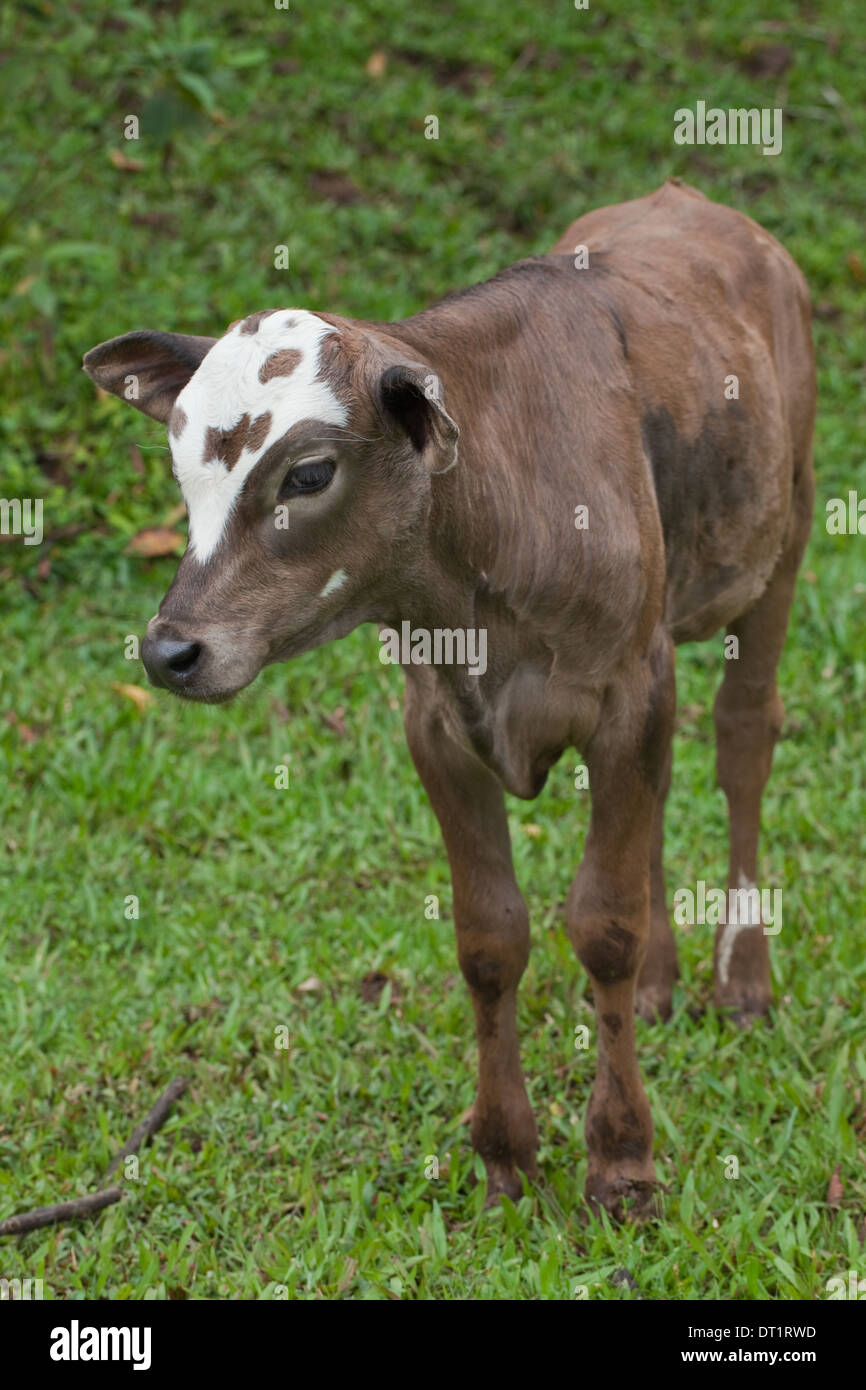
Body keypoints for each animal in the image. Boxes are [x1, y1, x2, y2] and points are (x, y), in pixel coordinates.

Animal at [84, 182, 817, 1217]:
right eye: (183, 468)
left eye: (308, 472)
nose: (169, 649)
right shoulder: (438, 724)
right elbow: (490, 938)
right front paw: (505, 1152)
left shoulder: (622, 693)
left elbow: (605, 926)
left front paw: (621, 1159)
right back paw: (665, 983)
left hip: (784, 536)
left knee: (743, 740)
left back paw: (742, 975)